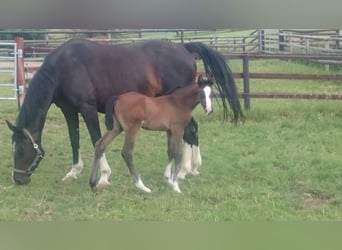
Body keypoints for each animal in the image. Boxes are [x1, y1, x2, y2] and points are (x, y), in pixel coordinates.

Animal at [6, 37, 243, 186]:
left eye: (20, 151)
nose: (18, 180)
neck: (64, 69)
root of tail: (184, 48)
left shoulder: (88, 109)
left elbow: (96, 139)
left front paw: (103, 176)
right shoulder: (69, 110)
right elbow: (75, 139)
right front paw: (73, 172)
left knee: (190, 130)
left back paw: (185, 170)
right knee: (191, 130)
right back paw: (189, 169)